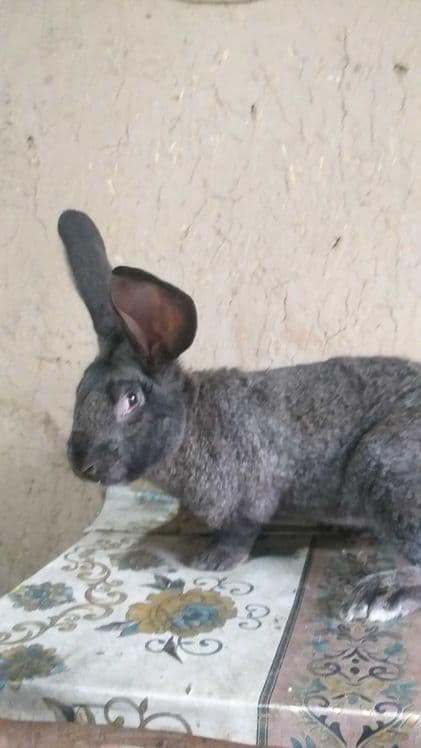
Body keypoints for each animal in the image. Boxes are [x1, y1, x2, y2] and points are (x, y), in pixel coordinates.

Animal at [58, 209, 421, 622]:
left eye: (131, 399)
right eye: (80, 389)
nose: (80, 463)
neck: (190, 423)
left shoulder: (249, 495)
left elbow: (242, 530)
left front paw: (213, 560)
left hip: (382, 463)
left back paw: (378, 594)